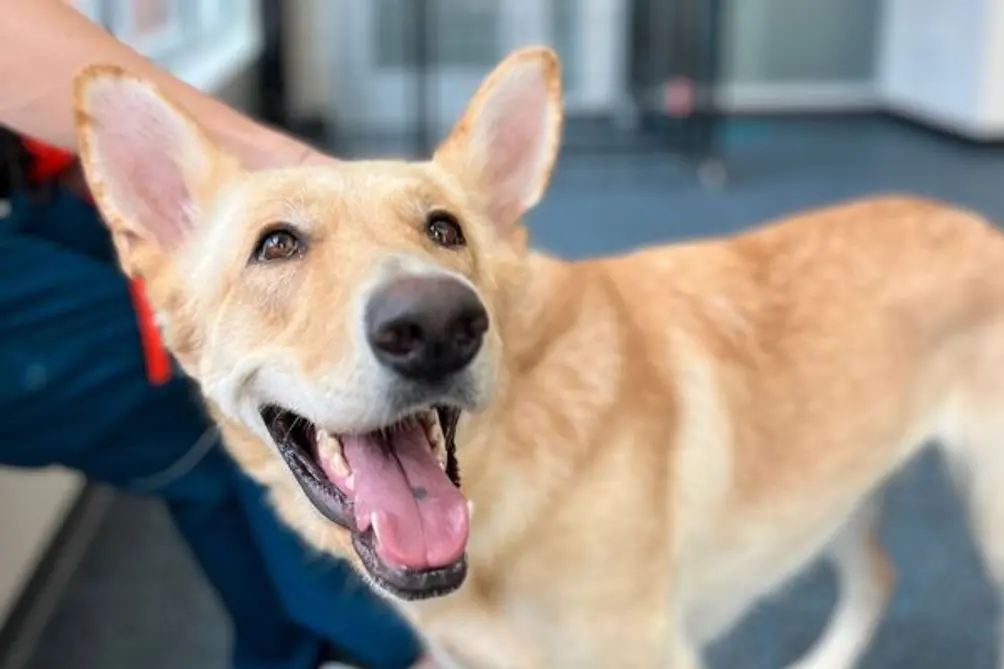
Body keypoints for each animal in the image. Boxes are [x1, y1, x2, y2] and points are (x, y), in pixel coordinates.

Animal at [72, 48, 1004, 666]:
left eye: (445, 229)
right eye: (276, 245)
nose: (439, 323)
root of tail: (973, 222)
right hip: (835, 493)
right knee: (878, 576)